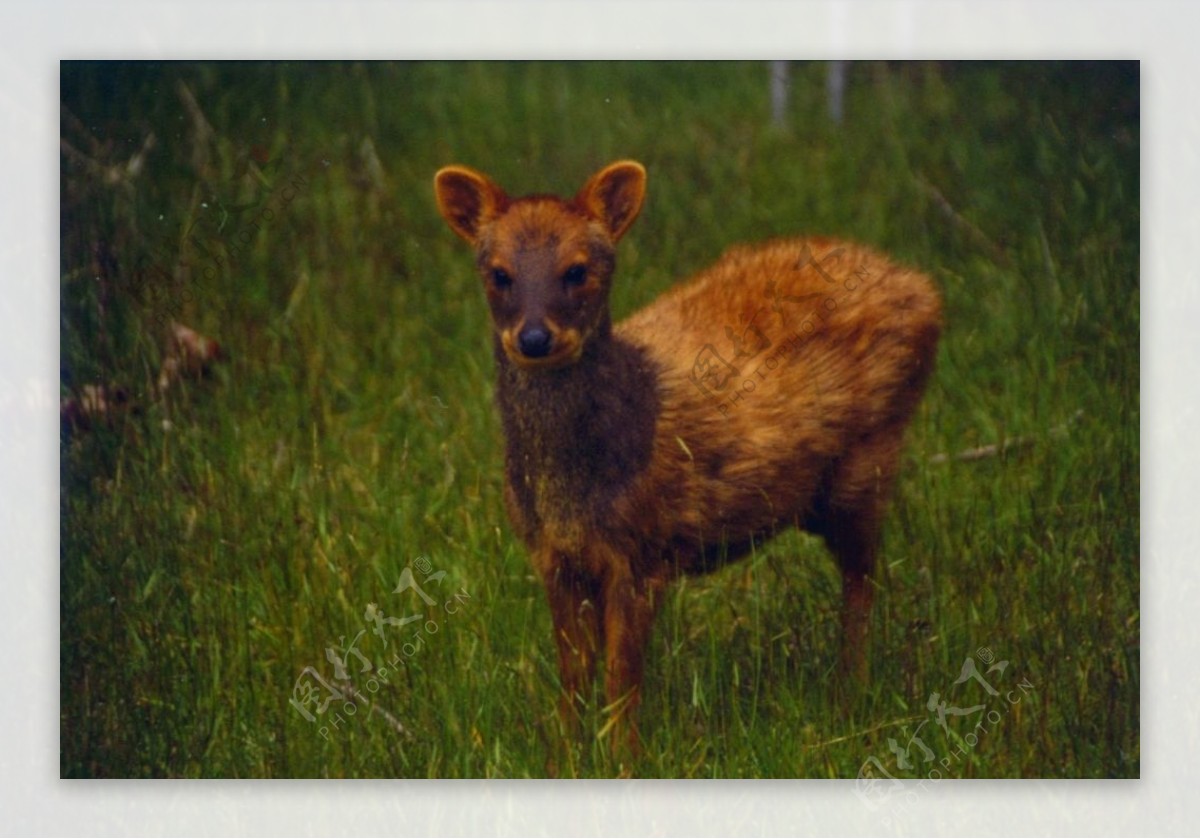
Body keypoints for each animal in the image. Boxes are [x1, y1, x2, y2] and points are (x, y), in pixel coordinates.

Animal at [436, 160, 940, 753]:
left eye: (577, 270)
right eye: (498, 274)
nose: (535, 338)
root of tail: (923, 287)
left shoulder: (641, 551)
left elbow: (621, 681)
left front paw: (622, 759)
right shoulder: (553, 557)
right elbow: (573, 676)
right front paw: (563, 755)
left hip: (867, 461)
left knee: (862, 581)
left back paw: (850, 698)